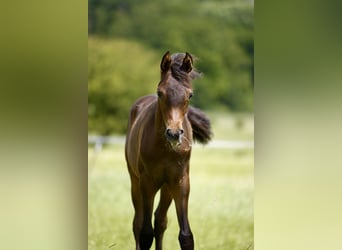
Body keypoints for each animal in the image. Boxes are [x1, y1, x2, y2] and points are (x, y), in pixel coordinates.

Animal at [125, 51, 211, 250]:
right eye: (160, 93)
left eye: (190, 95)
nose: (173, 133)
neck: (165, 150)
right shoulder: (147, 182)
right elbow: (145, 233)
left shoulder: (180, 181)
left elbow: (186, 236)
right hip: (135, 180)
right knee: (137, 222)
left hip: (166, 187)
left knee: (160, 220)